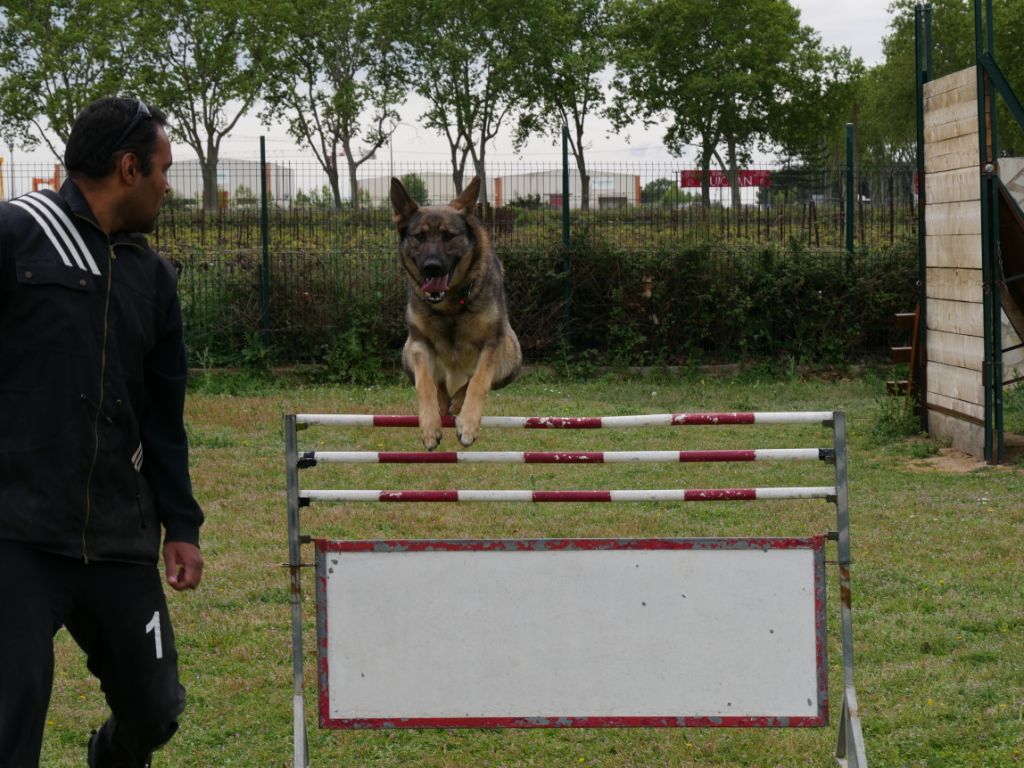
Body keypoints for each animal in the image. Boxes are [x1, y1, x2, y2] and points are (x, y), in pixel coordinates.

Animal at [389, 176, 524, 450]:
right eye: (419, 236)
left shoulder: (492, 343)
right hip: (407, 354)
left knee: (473, 381)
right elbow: (425, 384)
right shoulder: (420, 344)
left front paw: (468, 425)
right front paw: (429, 426)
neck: (450, 305)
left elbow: (480, 381)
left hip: (510, 357)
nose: (431, 267)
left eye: (448, 236)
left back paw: (457, 402)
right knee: (439, 383)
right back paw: (444, 403)